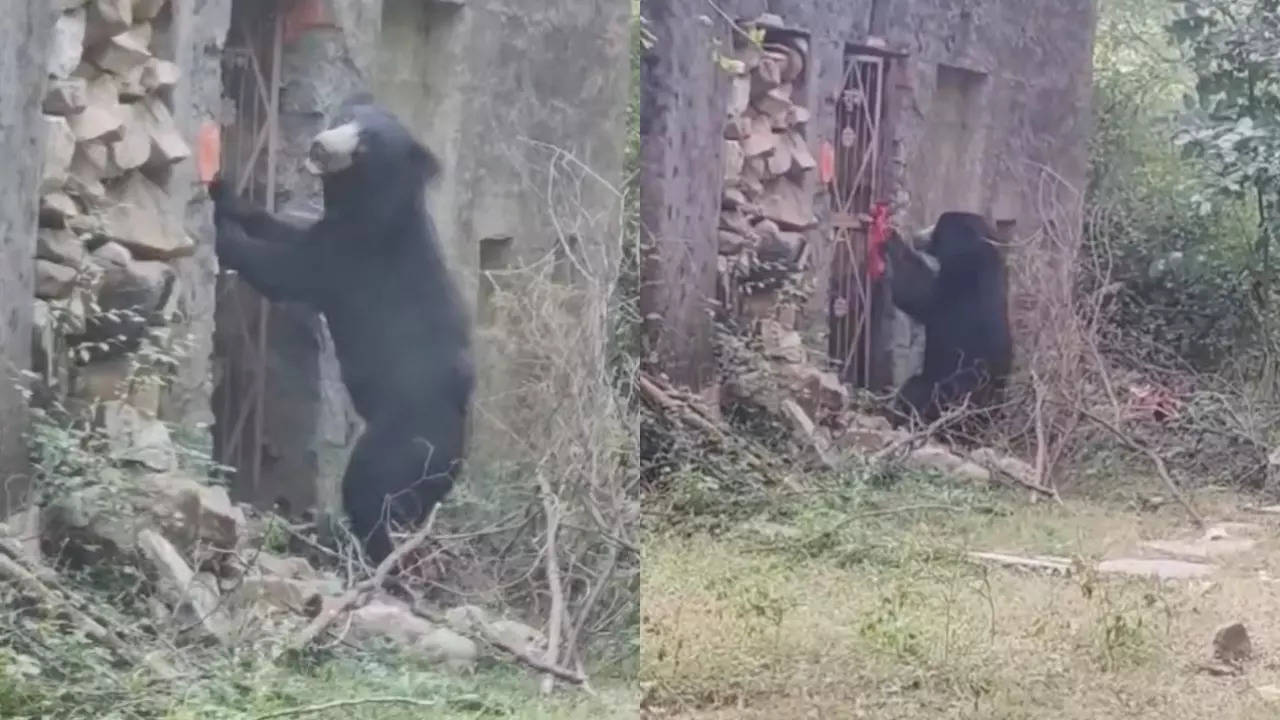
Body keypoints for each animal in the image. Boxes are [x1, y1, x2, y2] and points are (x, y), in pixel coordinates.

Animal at [212, 96, 473, 566]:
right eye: (346, 119)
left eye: (363, 146)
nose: (318, 145)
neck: (365, 207)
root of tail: (453, 458)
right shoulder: (327, 231)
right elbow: (284, 229)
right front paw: (223, 193)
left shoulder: (353, 259)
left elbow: (285, 271)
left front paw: (224, 233)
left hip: (398, 443)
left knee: (369, 493)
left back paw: (366, 557)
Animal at [885, 210, 1013, 427]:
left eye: (937, 226)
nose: (917, 236)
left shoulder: (958, 297)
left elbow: (917, 291)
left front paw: (890, 237)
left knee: (916, 390)